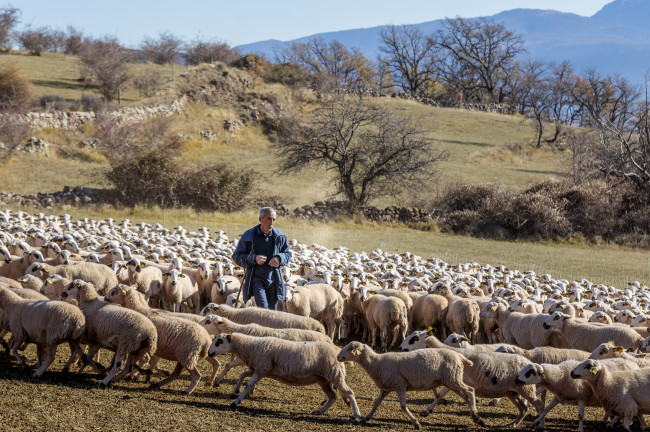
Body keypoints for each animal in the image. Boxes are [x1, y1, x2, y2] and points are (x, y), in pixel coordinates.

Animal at [208, 332, 360, 420]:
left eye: (219, 341)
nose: (209, 353)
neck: (252, 346)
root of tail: (338, 351)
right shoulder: (262, 369)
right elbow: (243, 374)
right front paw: (235, 391)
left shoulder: (261, 368)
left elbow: (249, 383)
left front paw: (236, 402)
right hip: (323, 379)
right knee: (332, 396)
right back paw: (320, 411)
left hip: (335, 374)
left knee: (349, 392)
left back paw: (356, 415)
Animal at [336, 340, 478, 428]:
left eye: (350, 349)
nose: (338, 357)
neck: (377, 363)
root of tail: (460, 356)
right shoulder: (385, 388)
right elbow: (376, 403)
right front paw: (366, 418)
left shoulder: (400, 385)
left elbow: (403, 406)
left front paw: (416, 423)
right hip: (451, 380)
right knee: (465, 396)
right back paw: (475, 416)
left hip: (453, 378)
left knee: (470, 390)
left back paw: (475, 414)